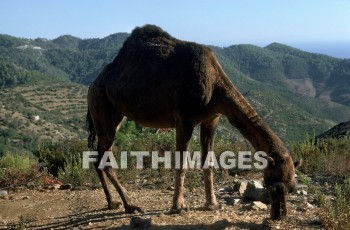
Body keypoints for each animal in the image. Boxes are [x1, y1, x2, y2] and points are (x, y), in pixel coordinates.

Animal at [87, 24, 300, 220]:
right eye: (274, 186)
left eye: (292, 188)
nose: (280, 215)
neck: (216, 85)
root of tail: (93, 82)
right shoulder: (185, 119)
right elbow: (182, 163)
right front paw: (177, 207)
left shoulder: (211, 119)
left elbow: (208, 162)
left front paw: (211, 204)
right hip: (102, 105)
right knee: (104, 156)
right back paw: (129, 205)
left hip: (116, 114)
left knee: (99, 156)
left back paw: (112, 202)